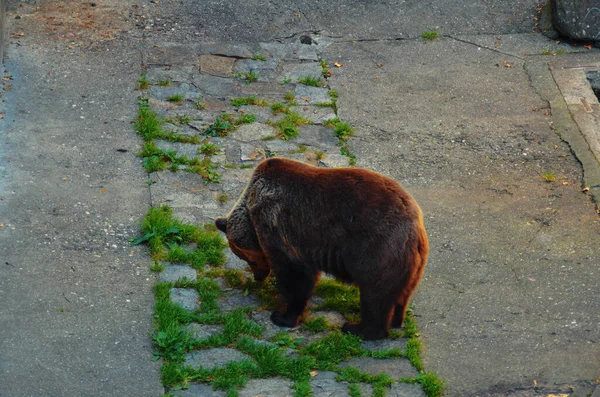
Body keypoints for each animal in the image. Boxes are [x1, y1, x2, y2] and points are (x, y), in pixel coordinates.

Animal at [213, 156, 428, 338]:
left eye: (247, 258)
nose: (258, 277)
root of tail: (415, 226)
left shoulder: (277, 223)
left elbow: (295, 274)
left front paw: (283, 316)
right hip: (412, 262)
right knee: (402, 292)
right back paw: (397, 319)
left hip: (378, 249)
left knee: (375, 294)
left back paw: (357, 328)